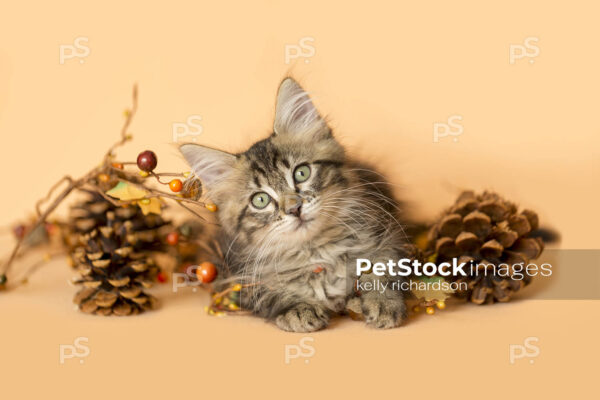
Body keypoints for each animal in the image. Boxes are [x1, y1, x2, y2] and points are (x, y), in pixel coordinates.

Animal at [180, 78, 410, 332]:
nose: (294, 209)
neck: (317, 252)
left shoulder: (388, 234)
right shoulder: (239, 278)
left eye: (302, 173)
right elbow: (270, 293)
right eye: (260, 200)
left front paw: (382, 302)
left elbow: (382, 267)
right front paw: (298, 309)